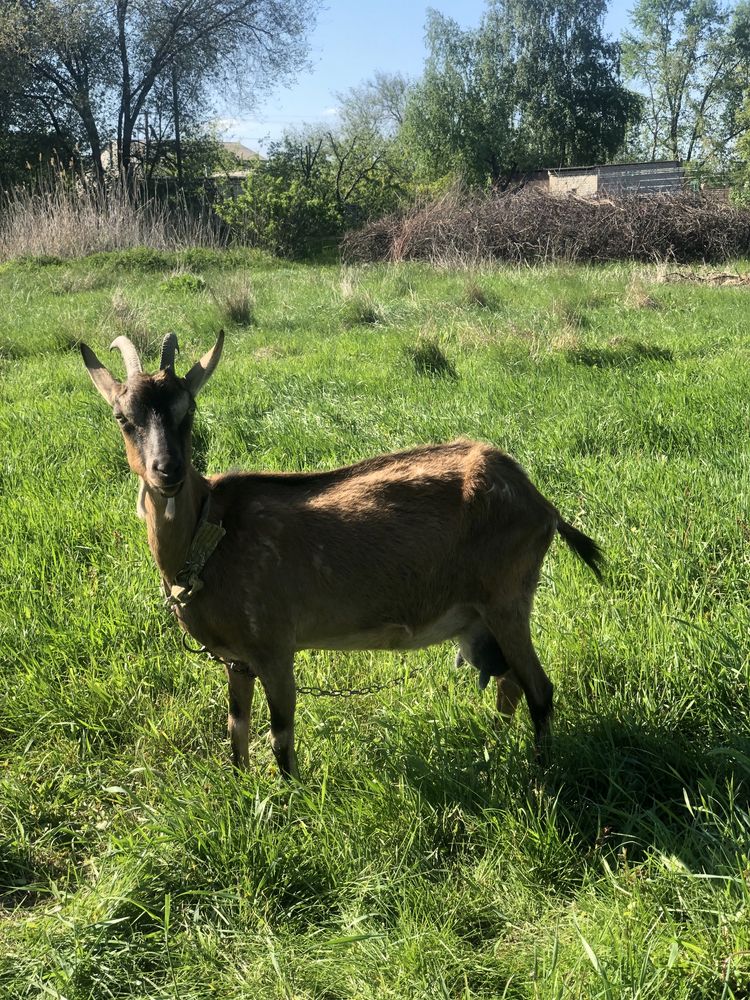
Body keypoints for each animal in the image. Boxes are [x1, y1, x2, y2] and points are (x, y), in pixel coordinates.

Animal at [79, 332, 604, 776]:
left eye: (187, 410)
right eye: (122, 418)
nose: (167, 470)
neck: (208, 539)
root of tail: (541, 504)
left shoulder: (274, 645)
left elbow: (281, 736)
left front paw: (292, 807)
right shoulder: (237, 659)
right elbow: (236, 729)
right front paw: (242, 791)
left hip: (507, 598)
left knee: (539, 688)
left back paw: (541, 776)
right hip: (485, 616)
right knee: (509, 684)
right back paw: (498, 749)